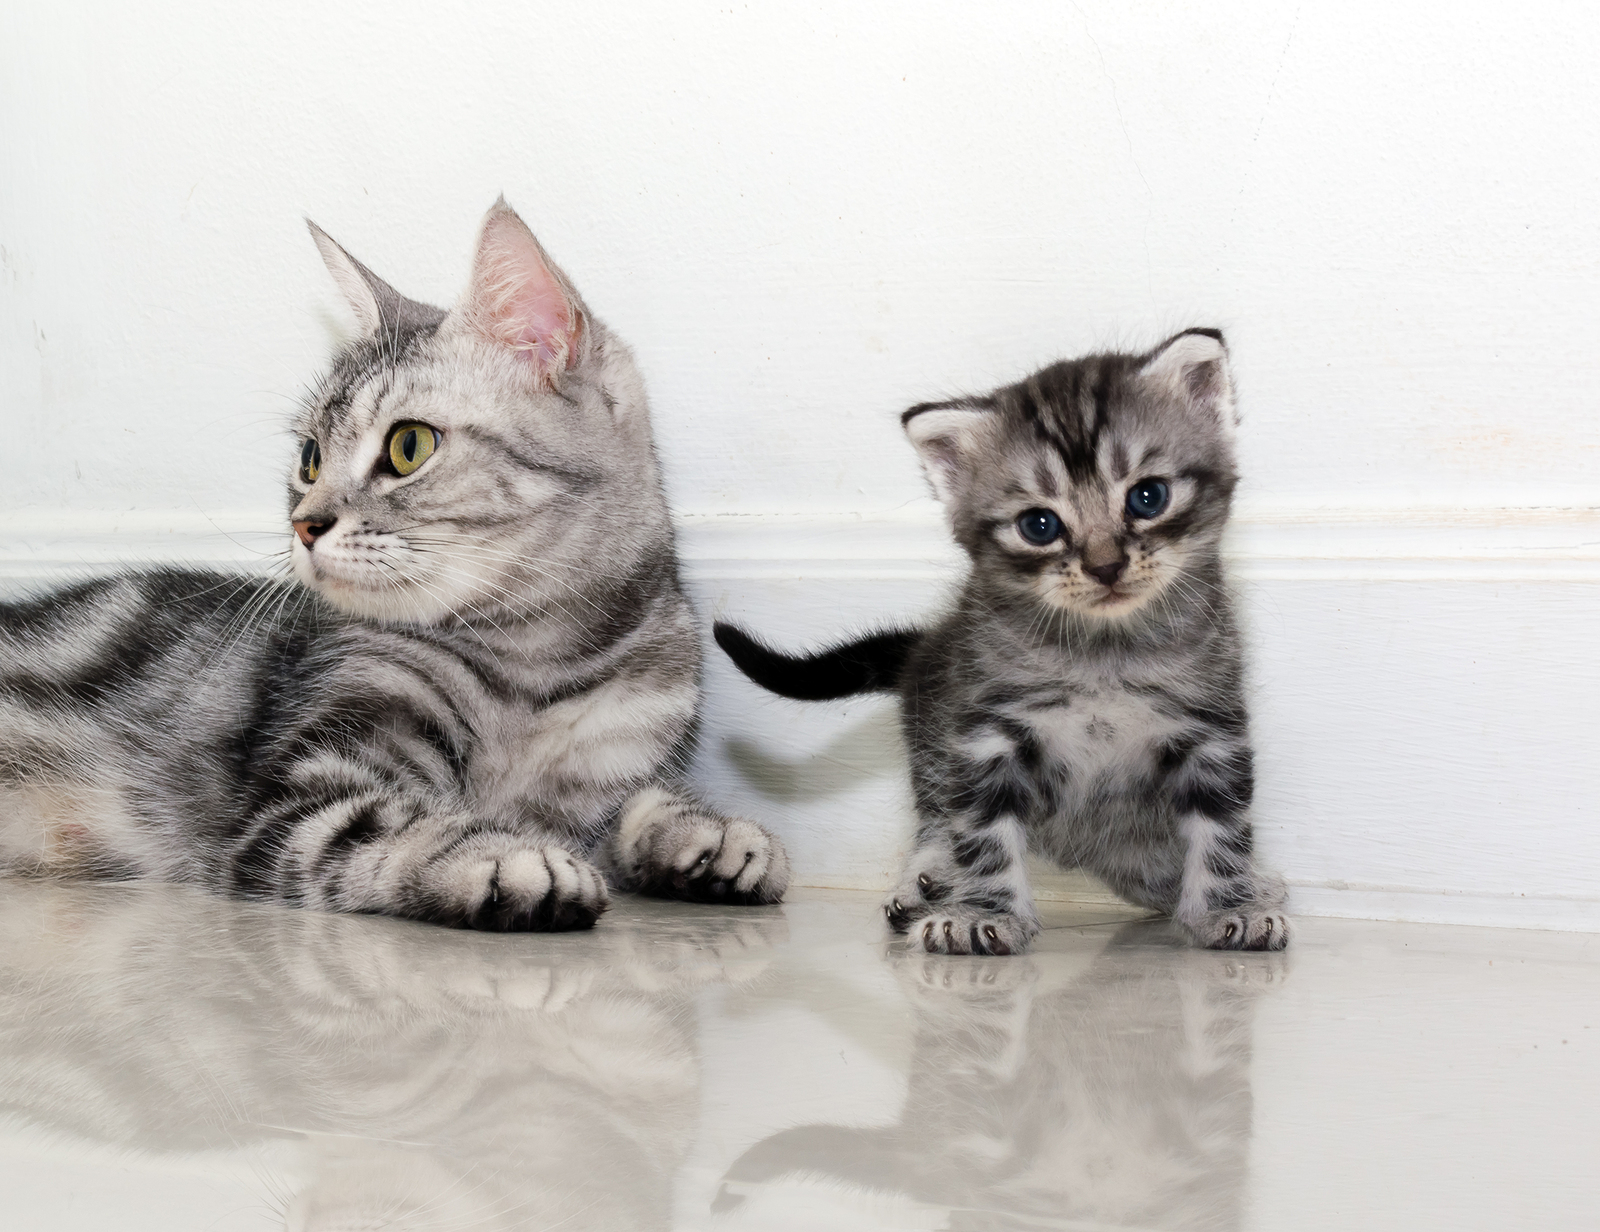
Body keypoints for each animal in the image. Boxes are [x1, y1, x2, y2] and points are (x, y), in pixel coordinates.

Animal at [0, 196, 787, 928]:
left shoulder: (614, 759)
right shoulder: (299, 795)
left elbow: (632, 806)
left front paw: (704, 833)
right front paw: (502, 856)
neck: (540, 669)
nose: (304, 524)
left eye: (409, 446)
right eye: (310, 458)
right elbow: (396, 828)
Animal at [713, 331, 1286, 953]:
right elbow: (984, 833)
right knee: (940, 815)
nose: (1105, 566)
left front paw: (1231, 905)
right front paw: (979, 915)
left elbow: (1222, 830)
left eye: (1148, 497)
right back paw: (930, 875)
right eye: (1039, 525)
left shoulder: (1212, 727)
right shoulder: (985, 734)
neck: (1102, 656)